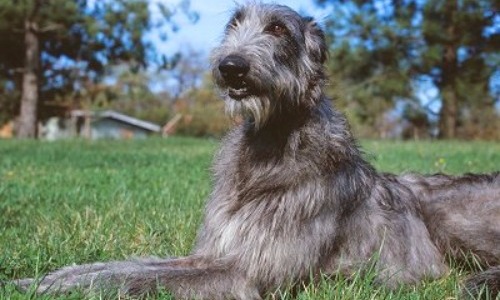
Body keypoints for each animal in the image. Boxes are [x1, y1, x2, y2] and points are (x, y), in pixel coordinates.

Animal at [13, 2, 498, 300]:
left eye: (278, 29)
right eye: (233, 24)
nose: (231, 67)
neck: (269, 146)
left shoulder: (249, 273)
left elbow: (142, 279)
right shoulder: (213, 251)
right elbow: (129, 266)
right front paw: (48, 278)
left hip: (448, 216)